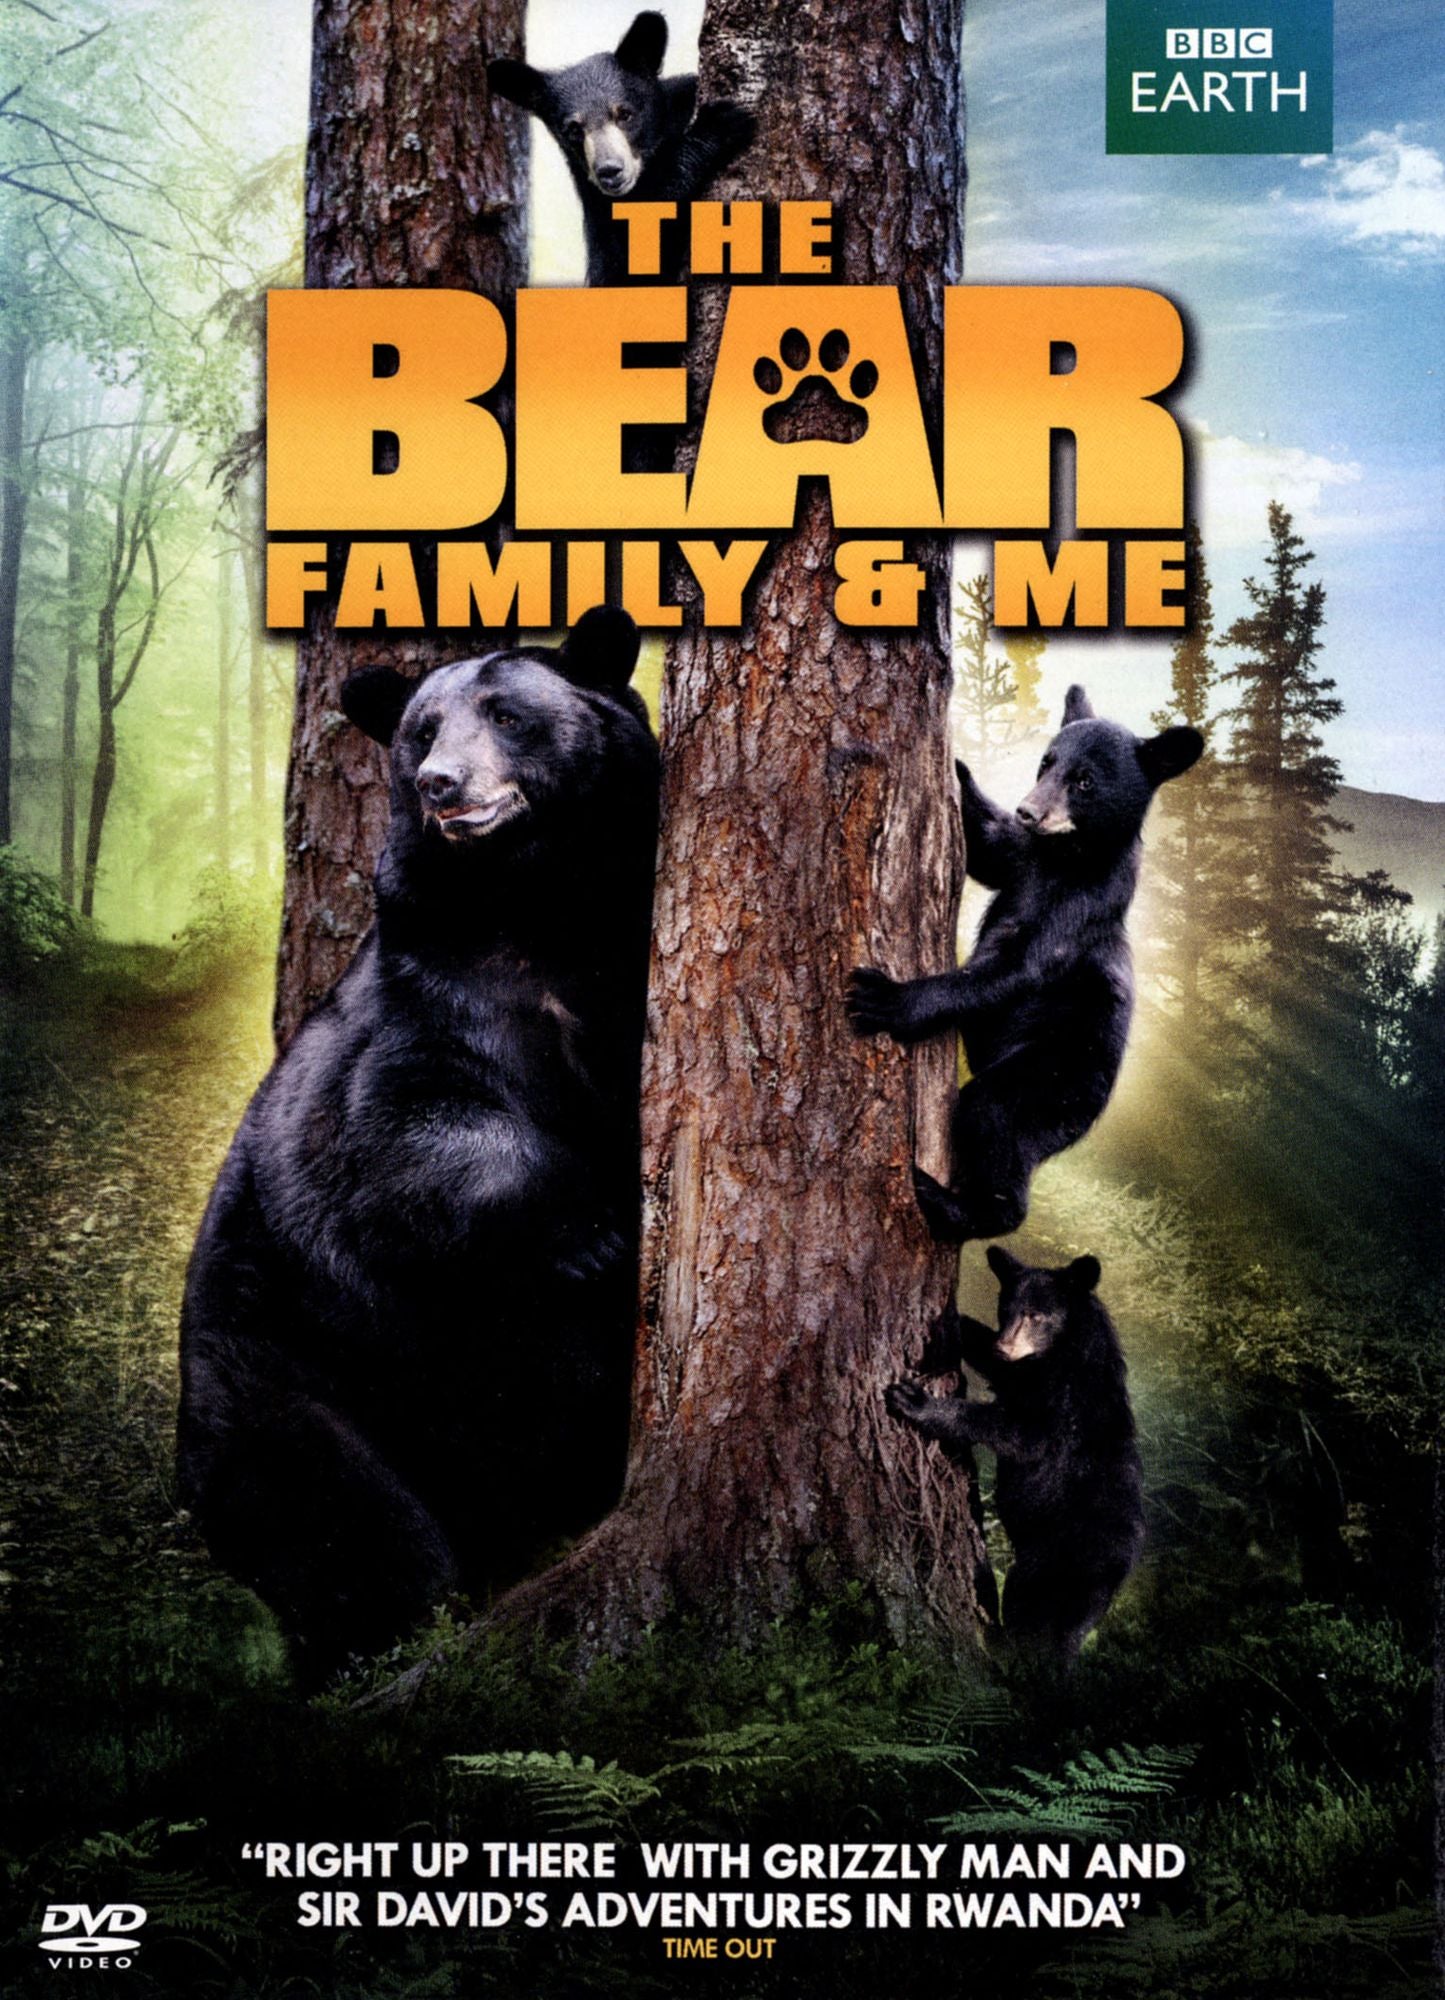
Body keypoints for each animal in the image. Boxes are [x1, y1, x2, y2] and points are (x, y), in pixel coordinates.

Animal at [177, 607, 659, 1681]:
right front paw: (598, 1226)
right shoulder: (427, 999)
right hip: (286, 1386)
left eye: (509, 714)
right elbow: (408, 1143)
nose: (444, 783)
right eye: (421, 732)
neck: (536, 902)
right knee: (361, 1539)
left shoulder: (618, 958)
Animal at [847, 687, 1203, 1243]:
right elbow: (989, 848)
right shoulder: (1023, 857)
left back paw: (947, 1202)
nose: (1028, 810)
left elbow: (1012, 970)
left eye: (1085, 781)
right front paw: (957, 765)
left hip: (1055, 1076)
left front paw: (888, 999)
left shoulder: (1080, 908)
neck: (1064, 858)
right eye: (1046, 762)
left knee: (993, 1118)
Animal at [886, 1246, 1144, 1663]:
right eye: (1004, 1308)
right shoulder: (1025, 1373)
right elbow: (1001, 1371)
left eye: (1036, 1315)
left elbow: (1017, 1431)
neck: (1067, 1352)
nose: (1003, 1346)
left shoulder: (1064, 1404)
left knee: (1031, 1613)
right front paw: (959, 1323)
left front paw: (917, 1402)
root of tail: (1117, 1573)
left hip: (1052, 1563)